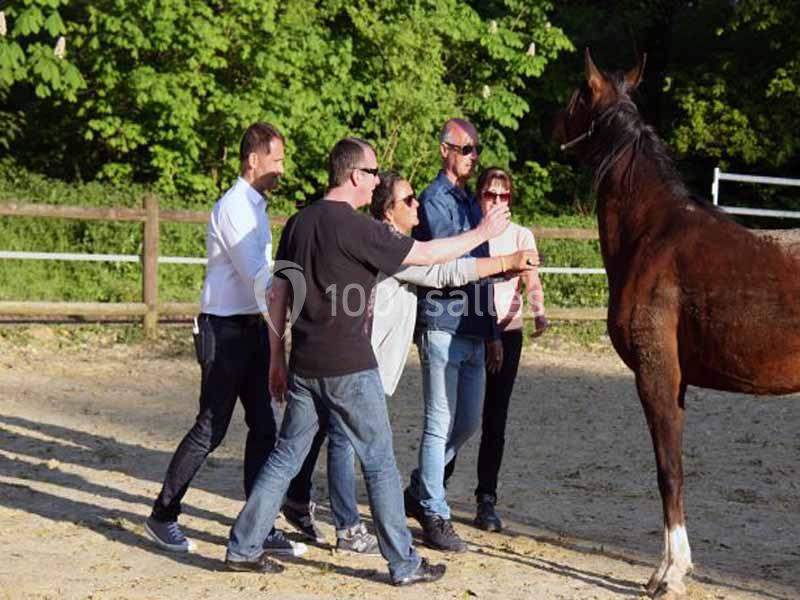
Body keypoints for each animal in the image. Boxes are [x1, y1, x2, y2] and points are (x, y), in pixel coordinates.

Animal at [553, 49, 800, 599]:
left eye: (577, 96)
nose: (552, 127)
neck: (652, 231)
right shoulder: (679, 382)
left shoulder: (657, 377)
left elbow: (669, 471)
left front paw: (669, 573)